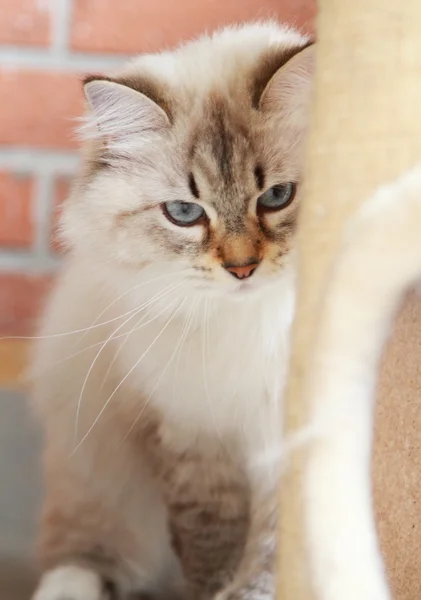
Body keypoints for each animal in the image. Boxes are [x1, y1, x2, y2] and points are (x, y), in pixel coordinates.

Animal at [30, 21, 312, 600]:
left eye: (276, 196)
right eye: (184, 213)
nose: (243, 269)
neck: (244, 325)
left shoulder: (289, 443)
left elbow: (270, 560)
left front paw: (249, 592)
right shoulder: (193, 440)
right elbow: (210, 545)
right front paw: (215, 590)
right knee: (86, 551)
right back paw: (71, 585)